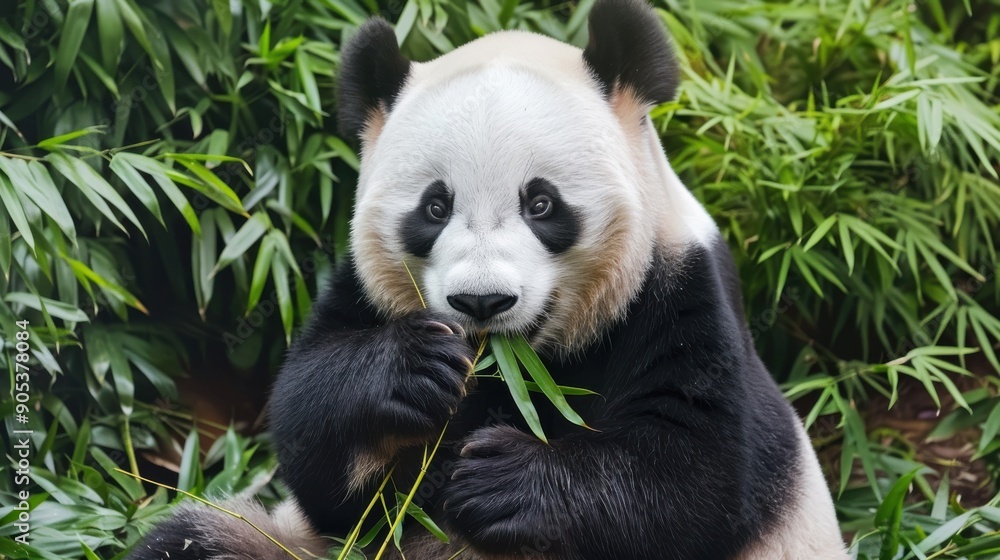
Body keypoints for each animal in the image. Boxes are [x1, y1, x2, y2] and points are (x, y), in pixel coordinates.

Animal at [129, 0, 850, 559]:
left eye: (542, 203)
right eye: (434, 207)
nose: (481, 301)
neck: (522, 368)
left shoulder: (678, 292)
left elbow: (698, 474)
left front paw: (502, 479)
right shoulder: (364, 294)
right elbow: (320, 459)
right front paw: (413, 370)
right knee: (193, 540)